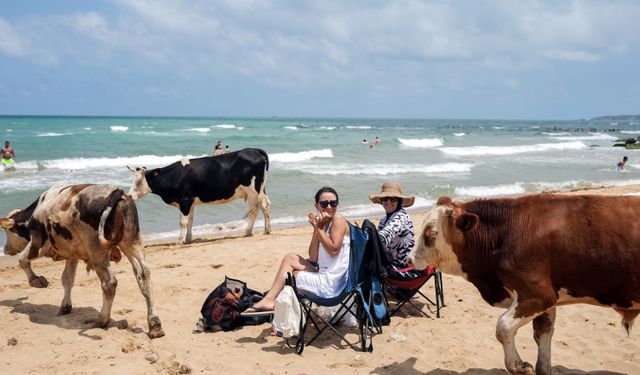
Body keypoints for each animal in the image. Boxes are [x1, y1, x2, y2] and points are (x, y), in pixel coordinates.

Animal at [1, 184, 165, 340]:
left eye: (7, 231)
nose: (6, 249)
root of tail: (117, 193)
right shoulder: (72, 255)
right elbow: (67, 279)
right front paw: (65, 306)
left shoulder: (38, 242)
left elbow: (22, 260)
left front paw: (37, 280)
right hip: (132, 241)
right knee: (144, 275)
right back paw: (155, 324)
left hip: (96, 248)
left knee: (109, 283)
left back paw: (102, 320)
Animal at [129, 147, 272, 244]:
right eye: (132, 179)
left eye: (140, 181)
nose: (129, 196)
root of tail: (255, 150)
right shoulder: (190, 201)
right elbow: (190, 221)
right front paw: (188, 239)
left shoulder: (185, 200)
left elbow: (183, 221)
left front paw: (179, 240)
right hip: (261, 189)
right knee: (265, 206)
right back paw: (266, 230)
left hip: (252, 191)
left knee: (256, 209)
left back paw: (249, 231)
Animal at [410, 195, 640, 375]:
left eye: (431, 233)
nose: (409, 258)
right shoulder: (548, 299)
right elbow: (542, 335)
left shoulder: (539, 294)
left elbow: (503, 327)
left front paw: (519, 366)